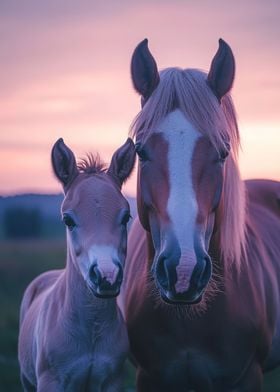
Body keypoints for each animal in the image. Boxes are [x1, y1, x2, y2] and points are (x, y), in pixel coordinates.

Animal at [17, 136, 136, 390]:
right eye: (68, 220)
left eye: (126, 217)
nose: (107, 276)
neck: (92, 329)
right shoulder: (50, 381)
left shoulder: (112, 380)